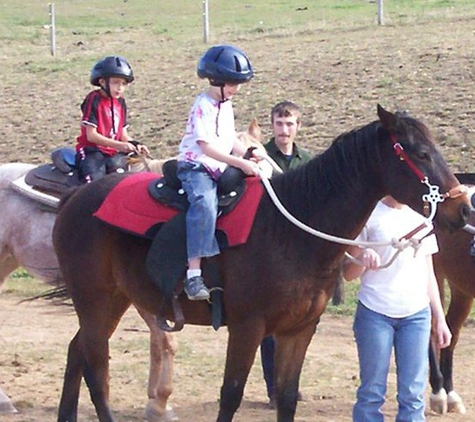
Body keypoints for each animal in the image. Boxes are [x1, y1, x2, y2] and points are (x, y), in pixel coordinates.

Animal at [51, 103, 468, 422]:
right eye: (420, 153)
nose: (463, 209)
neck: (291, 230)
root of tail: (74, 199)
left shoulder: (298, 330)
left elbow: (286, 396)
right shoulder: (247, 328)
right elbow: (231, 394)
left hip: (112, 301)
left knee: (76, 352)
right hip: (96, 302)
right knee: (95, 369)